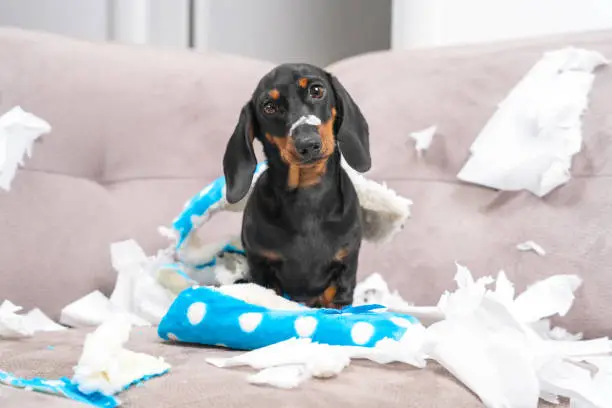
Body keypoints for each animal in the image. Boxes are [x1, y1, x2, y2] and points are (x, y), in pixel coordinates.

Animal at [224, 63, 370, 306]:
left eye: (317, 90)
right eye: (269, 107)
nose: (308, 144)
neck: (307, 195)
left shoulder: (345, 268)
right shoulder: (261, 266)